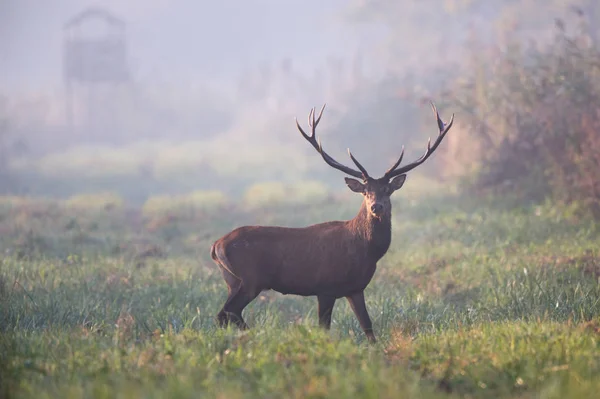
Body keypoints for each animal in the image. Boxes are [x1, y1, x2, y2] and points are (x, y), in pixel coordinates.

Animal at [211, 101, 454, 342]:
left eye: (387, 190)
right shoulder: (325, 287)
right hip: (250, 279)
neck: (365, 251)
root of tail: (216, 246)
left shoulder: (355, 288)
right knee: (227, 312)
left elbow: (368, 327)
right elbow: (324, 328)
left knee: (226, 314)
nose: (376, 206)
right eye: (366, 191)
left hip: (232, 280)